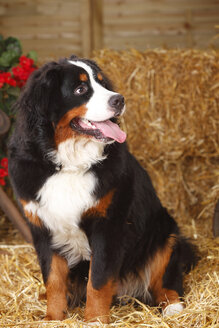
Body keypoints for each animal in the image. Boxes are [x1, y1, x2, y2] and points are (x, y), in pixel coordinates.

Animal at [8, 55, 197, 324]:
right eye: (80, 89)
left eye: (102, 83)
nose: (119, 99)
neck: (68, 164)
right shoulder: (42, 228)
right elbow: (53, 280)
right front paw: (53, 318)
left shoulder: (108, 226)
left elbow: (97, 281)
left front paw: (95, 320)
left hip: (165, 235)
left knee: (167, 281)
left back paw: (173, 307)